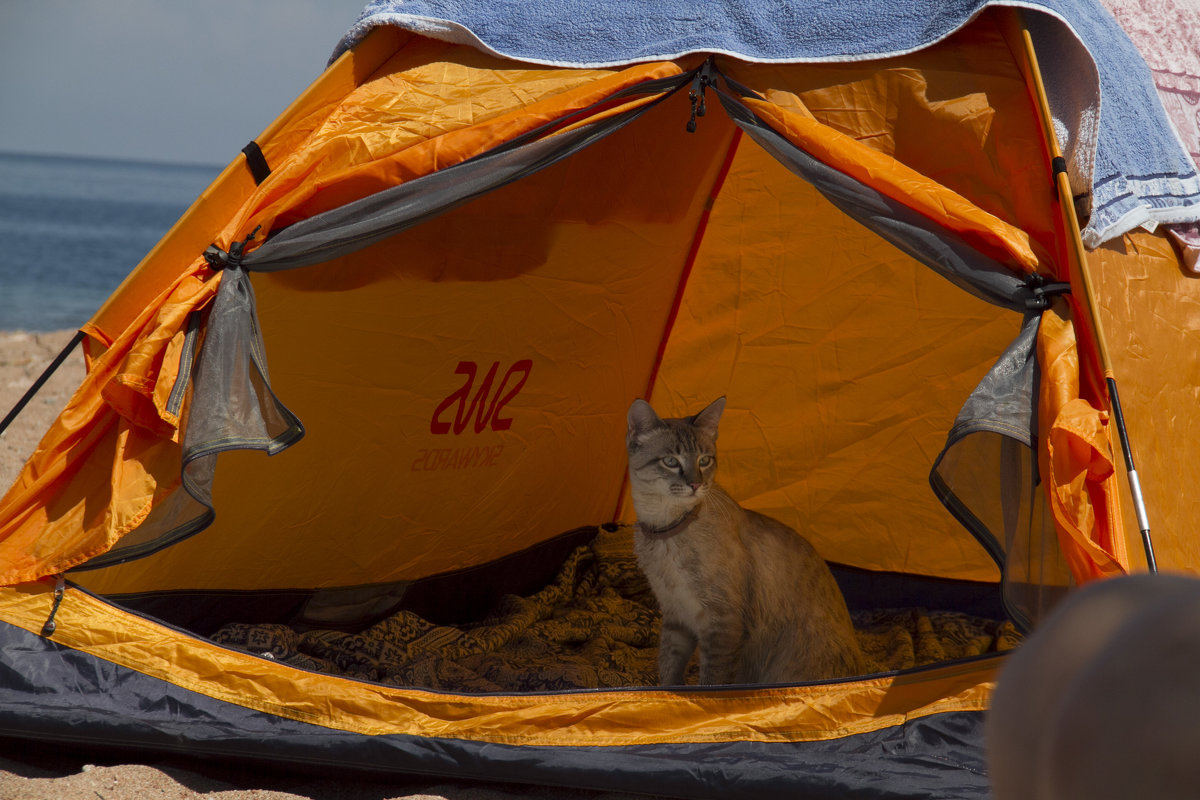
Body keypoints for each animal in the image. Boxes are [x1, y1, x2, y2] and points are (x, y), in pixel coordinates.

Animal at [628, 398, 864, 686]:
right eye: (671, 461)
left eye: (704, 460)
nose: (695, 484)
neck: (665, 529)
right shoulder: (676, 617)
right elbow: (669, 673)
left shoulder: (722, 623)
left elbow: (709, 683)